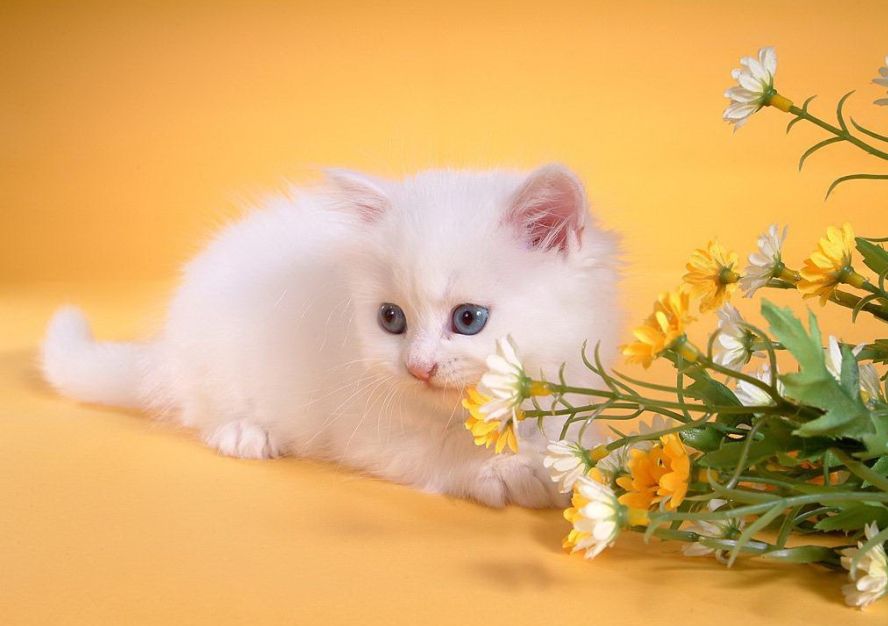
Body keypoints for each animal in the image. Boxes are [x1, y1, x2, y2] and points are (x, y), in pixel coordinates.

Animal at [41, 165, 620, 508]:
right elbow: (444, 452)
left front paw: (590, 461)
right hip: (215, 365)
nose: (418, 366)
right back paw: (245, 432)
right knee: (200, 411)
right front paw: (512, 469)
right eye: (391, 319)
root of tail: (165, 346)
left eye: (469, 319)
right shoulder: (368, 433)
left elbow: (577, 440)